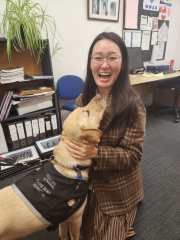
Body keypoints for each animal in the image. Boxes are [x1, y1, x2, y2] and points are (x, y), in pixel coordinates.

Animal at [0, 94, 107, 240]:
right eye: (87, 112)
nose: (99, 95)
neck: (69, 165)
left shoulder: (63, 218)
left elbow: (63, 234)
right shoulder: (75, 218)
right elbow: (75, 236)